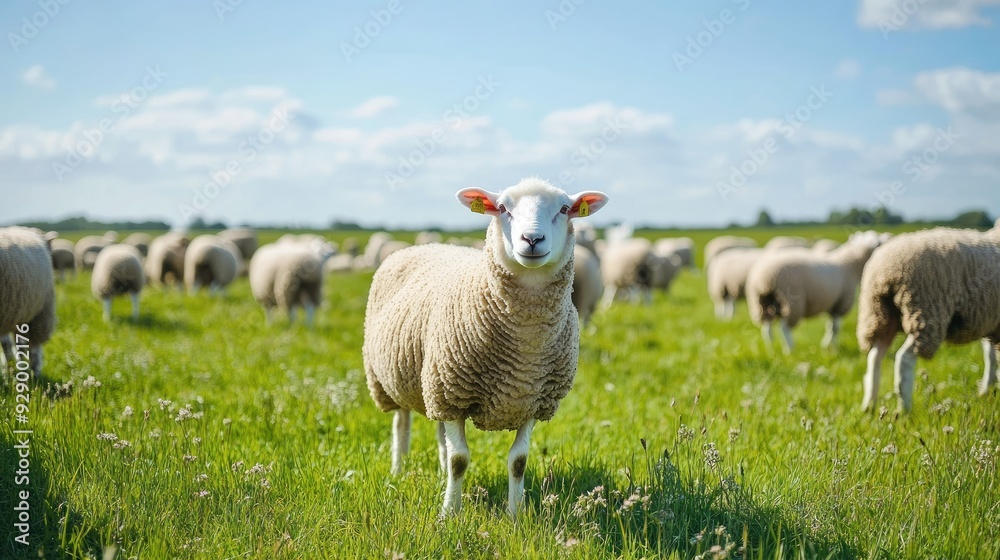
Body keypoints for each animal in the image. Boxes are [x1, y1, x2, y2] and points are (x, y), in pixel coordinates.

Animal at [363, 177, 608, 518]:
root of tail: (423, 245)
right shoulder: (452, 391)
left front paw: (516, 514)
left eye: (563, 209)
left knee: (440, 434)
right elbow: (460, 459)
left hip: (433, 385)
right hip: (396, 380)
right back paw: (398, 470)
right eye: (503, 208)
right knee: (401, 424)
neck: (525, 349)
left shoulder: (532, 401)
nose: (532, 239)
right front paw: (449, 514)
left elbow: (518, 461)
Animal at [746, 231, 882, 353]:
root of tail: (763, 279)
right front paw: (832, 348)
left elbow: (830, 326)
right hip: (791, 299)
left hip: (761, 301)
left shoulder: (832, 306)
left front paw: (827, 346)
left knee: (767, 327)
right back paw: (790, 350)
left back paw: (771, 349)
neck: (848, 265)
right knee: (784, 328)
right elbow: (835, 328)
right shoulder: (841, 303)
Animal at [857, 227, 1000, 412]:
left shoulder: (991, 323)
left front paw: (986, 389)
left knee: (875, 357)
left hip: (881, 314)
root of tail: (885, 272)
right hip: (926, 313)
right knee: (904, 359)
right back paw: (904, 410)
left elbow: (990, 355)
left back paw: (870, 405)